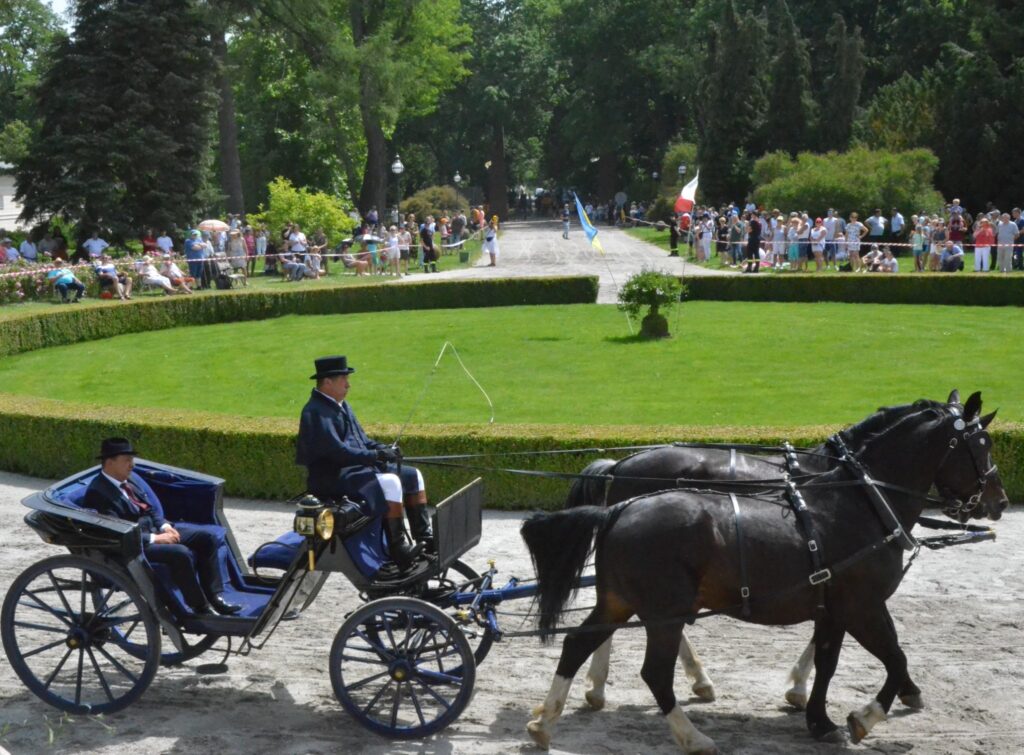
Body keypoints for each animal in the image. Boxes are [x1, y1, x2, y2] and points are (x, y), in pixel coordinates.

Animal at [524, 391, 1003, 749]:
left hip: (622, 600)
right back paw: (691, 733)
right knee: (654, 672)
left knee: (579, 643)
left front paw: (817, 716)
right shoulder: (862, 606)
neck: (860, 498)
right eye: (982, 446)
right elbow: (896, 658)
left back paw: (550, 720)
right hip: (665, 610)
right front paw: (866, 715)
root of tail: (619, 507)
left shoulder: (832, 608)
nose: (997, 501)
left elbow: (828, 661)